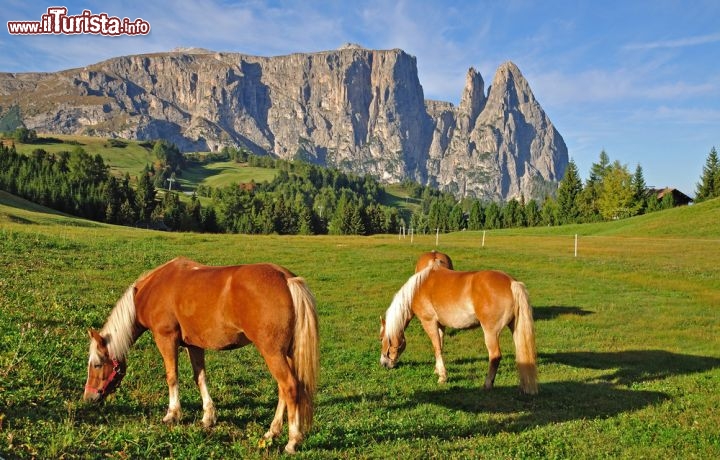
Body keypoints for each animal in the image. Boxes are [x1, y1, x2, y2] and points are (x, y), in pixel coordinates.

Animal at [83, 256, 320, 454]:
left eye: (97, 364)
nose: (88, 398)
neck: (152, 289)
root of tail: (286, 279)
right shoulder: (194, 345)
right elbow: (200, 378)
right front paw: (208, 416)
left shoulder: (166, 339)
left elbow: (172, 377)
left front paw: (172, 414)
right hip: (286, 354)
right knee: (284, 389)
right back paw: (272, 431)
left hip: (272, 353)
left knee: (289, 387)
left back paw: (292, 440)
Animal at [380, 260, 536, 394]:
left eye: (381, 339)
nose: (384, 364)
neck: (418, 288)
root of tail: (511, 282)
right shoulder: (440, 325)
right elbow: (440, 346)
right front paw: (438, 370)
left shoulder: (429, 322)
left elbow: (436, 347)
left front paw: (442, 377)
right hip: (515, 328)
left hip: (491, 332)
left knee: (495, 355)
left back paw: (487, 385)